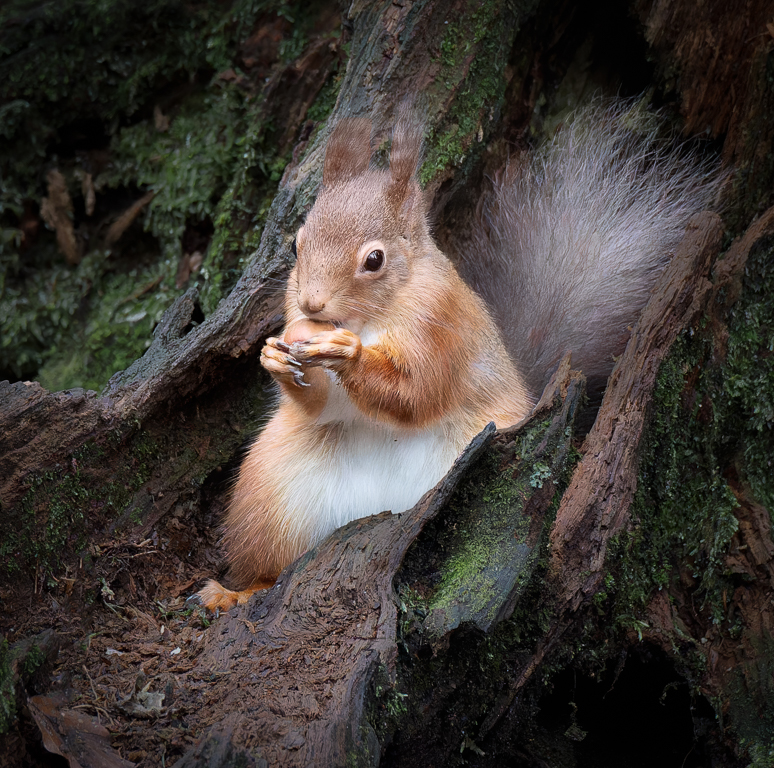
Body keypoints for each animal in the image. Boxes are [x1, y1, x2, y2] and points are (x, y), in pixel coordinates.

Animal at [199, 103, 716, 612]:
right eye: (296, 243)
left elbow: (416, 393)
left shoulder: (440, 326)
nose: (310, 304)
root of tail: (382, 511)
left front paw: (347, 355)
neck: (371, 318)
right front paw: (273, 357)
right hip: (272, 495)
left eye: (374, 260)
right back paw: (236, 592)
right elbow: (321, 402)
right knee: (272, 566)